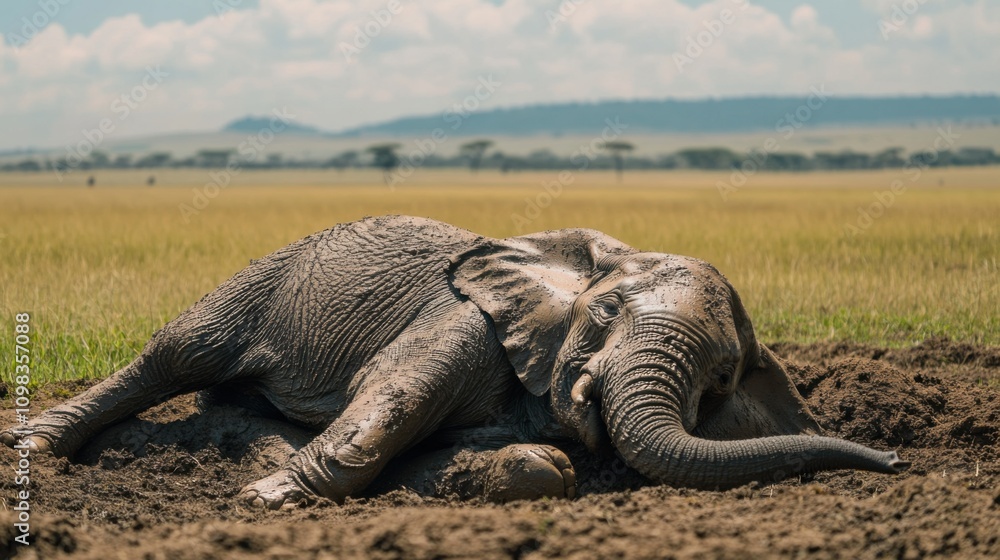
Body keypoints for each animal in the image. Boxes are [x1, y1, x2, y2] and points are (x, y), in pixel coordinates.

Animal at [2, 215, 908, 509]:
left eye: (721, 381)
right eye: (607, 313)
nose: (898, 461)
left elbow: (515, 458)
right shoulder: (462, 322)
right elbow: (384, 411)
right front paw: (264, 503)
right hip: (268, 276)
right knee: (174, 355)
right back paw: (34, 449)